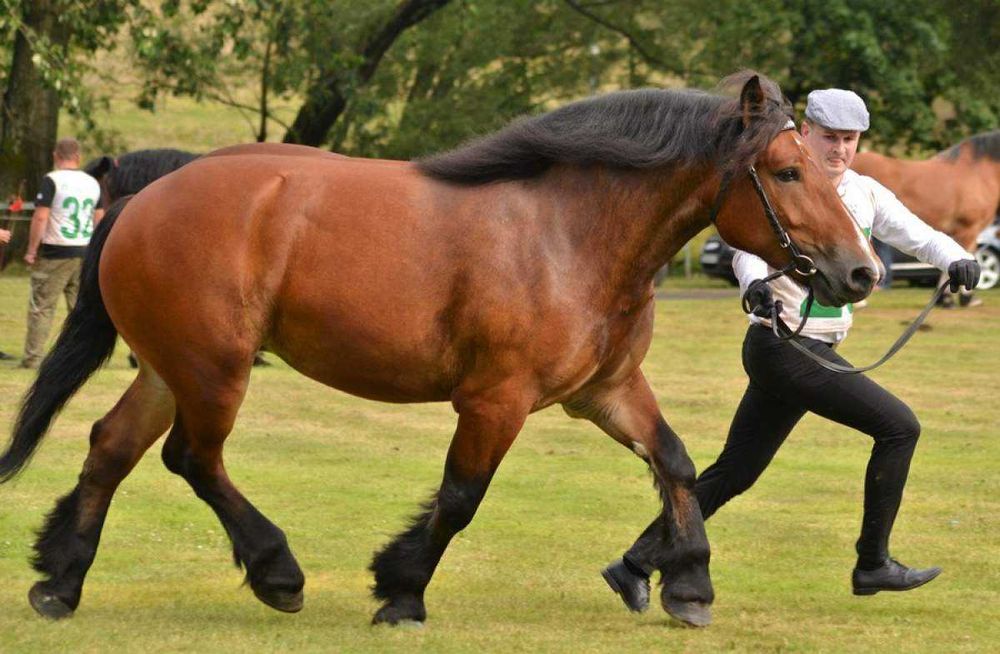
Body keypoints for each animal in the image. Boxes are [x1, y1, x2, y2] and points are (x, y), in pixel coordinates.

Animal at [0, 75, 880, 632]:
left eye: (823, 164)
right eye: (786, 170)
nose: (862, 271)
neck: (568, 234)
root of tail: (144, 197)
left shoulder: (606, 390)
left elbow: (677, 463)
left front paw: (689, 580)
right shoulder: (497, 401)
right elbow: (460, 497)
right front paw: (401, 591)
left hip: (169, 366)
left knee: (111, 448)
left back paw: (61, 580)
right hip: (215, 370)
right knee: (192, 459)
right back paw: (276, 571)